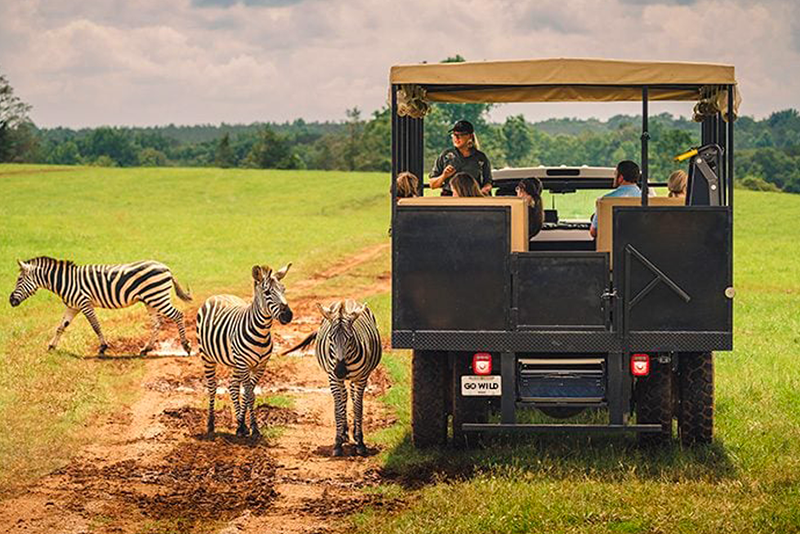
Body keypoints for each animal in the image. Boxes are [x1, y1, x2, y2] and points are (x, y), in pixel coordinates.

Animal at [9, 257, 192, 356]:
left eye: (19, 279)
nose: (10, 301)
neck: (65, 281)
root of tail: (166, 268)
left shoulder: (84, 303)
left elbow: (95, 325)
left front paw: (103, 347)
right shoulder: (72, 306)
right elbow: (61, 327)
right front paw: (51, 346)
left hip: (158, 297)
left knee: (178, 315)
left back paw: (186, 346)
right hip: (151, 300)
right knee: (157, 323)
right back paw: (146, 349)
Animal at [196, 263, 293, 438]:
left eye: (284, 289)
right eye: (267, 293)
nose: (288, 315)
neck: (262, 333)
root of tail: (218, 295)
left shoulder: (260, 366)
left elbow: (250, 394)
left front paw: (245, 426)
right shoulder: (244, 364)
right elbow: (248, 393)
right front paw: (249, 427)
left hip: (235, 363)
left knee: (233, 386)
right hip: (207, 357)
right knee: (212, 387)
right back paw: (211, 424)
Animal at [286, 300, 382, 457]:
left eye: (351, 339)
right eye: (330, 338)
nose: (340, 371)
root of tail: (347, 301)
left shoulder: (361, 378)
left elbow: (358, 407)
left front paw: (360, 442)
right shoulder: (333, 378)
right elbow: (338, 408)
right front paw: (337, 443)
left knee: (352, 396)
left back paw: (352, 433)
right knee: (343, 396)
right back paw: (343, 432)